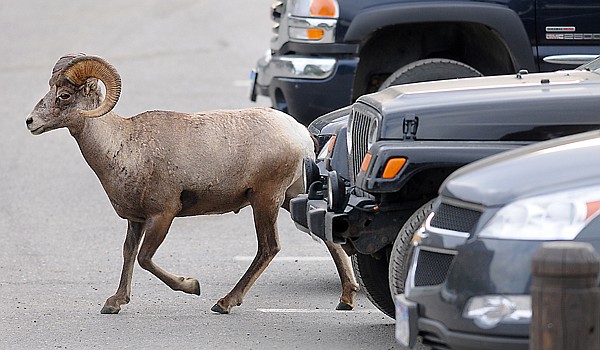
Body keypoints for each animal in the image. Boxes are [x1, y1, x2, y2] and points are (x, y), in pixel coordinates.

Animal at [25, 54, 358, 314]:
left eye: (64, 96)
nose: (30, 122)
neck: (125, 145)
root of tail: (302, 135)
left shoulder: (163, 215)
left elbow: (145, 259)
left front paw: (192, 285)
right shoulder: (136, 220)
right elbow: (128, 253)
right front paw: (114, 303)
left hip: (266, 201)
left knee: (269, 248)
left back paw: (224, 303)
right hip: (292, 197)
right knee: (327, 237)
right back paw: (346, 299)